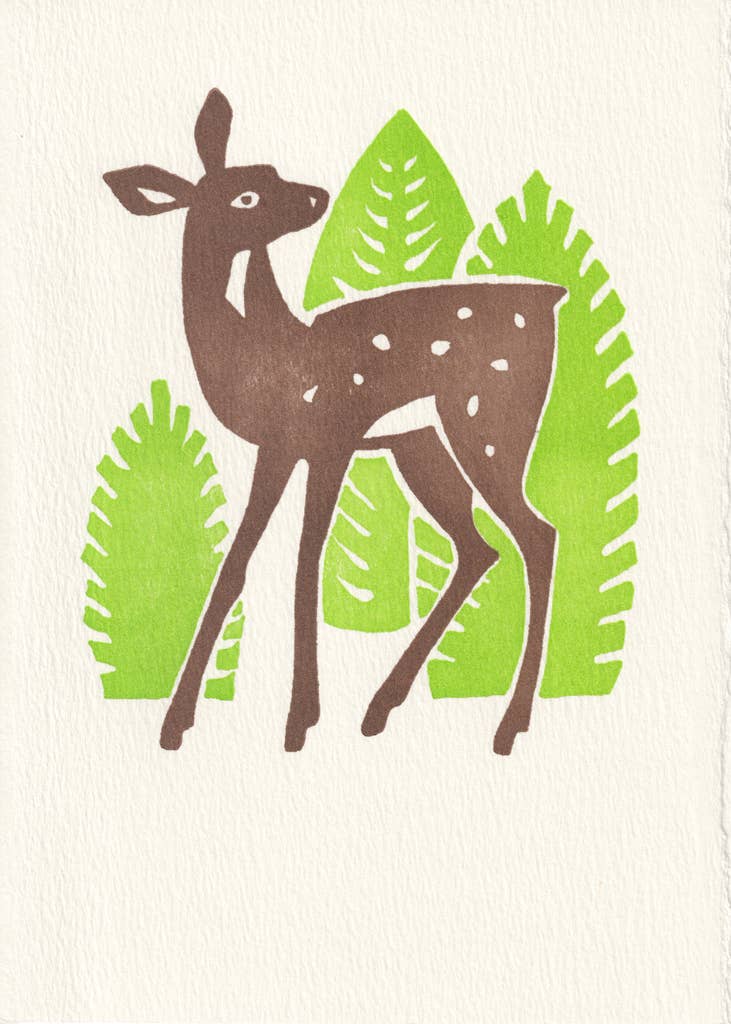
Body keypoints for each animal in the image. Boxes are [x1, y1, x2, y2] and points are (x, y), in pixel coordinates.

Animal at [103, 89, 566, 757]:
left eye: (270, 172)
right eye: (248, 195)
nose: (317, 196)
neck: (263, 349)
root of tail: (551, 296)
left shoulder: (330, 436)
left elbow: (305, 561)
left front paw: (299, 721)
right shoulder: (277, 448)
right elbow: (235, 565)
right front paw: (175, 723)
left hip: (489, 420)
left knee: (537, 535)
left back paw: (506, 726)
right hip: (420, 442)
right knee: (479, 547)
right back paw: (379, 708)